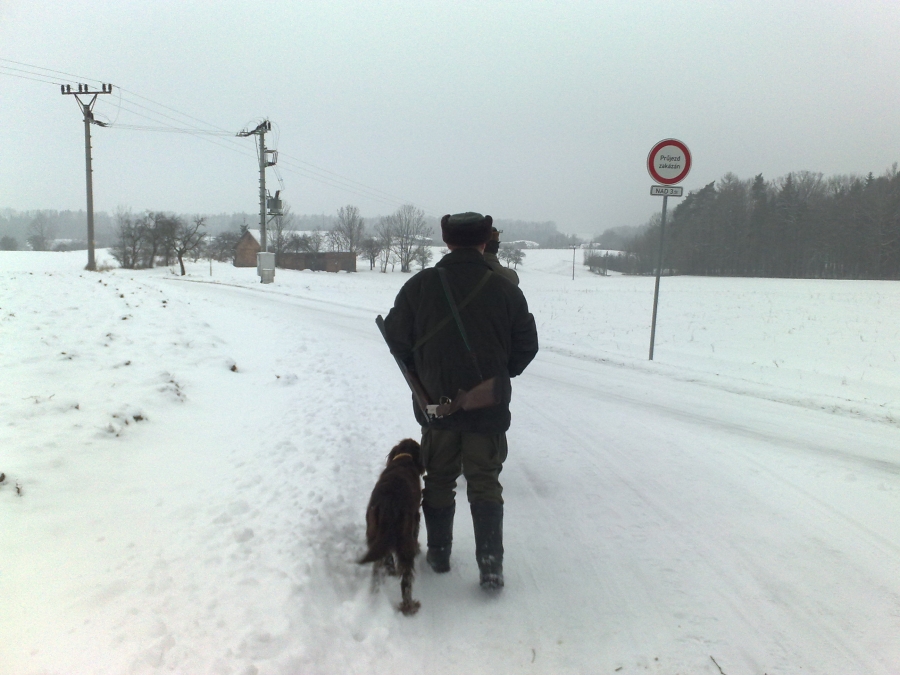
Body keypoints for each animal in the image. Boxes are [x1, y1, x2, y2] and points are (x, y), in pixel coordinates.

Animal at [358, 438, 425, 615]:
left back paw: (373, 596)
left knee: (377, 568)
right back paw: (409, 606)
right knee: (406, 580)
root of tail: (388, 503)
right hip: (405, 542)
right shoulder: (416, 516)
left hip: (374, 534)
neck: (404, 457)